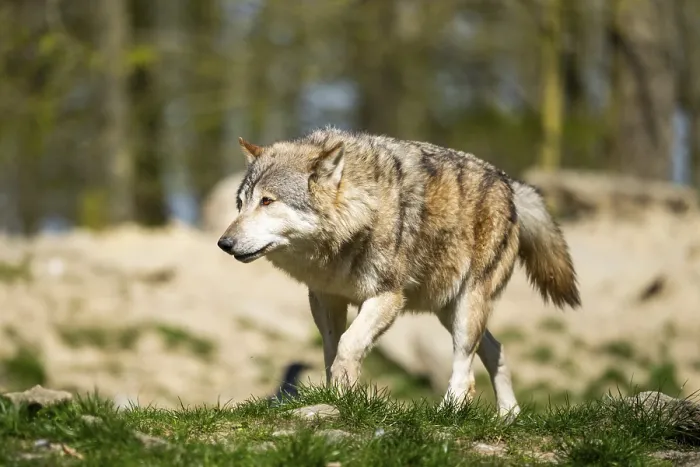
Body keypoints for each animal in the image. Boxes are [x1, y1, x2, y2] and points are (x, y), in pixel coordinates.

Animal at [217, 127, 581, 418]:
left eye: (267, 201)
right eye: (241, 204)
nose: (224, 243)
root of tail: (509, 182)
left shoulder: (387, 297)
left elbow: (348, 346)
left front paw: (343, 400)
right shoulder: (325, 298)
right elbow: (332, 351)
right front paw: (334, 395)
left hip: (466, 309)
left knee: (465, 372)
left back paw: (446, 414)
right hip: (447, 310)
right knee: (497, 350)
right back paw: (508, 416)